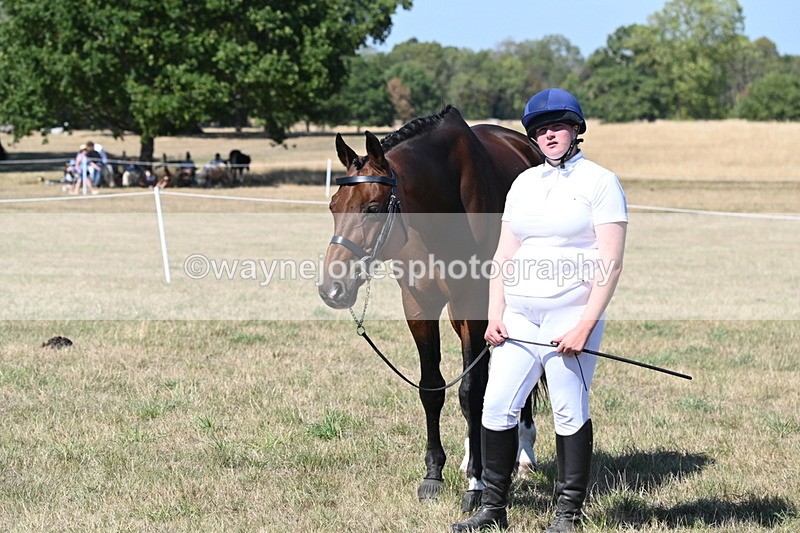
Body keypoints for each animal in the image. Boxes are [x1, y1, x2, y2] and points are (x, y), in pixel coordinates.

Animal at [318, 106, 544, 511]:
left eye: (373, 209)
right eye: (333, 207)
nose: (332, 289)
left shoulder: (474, 302)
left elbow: (471, 390)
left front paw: (475, 485)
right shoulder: (419, 304)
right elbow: (432, 388)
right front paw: (434, 475)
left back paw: (522, 455)